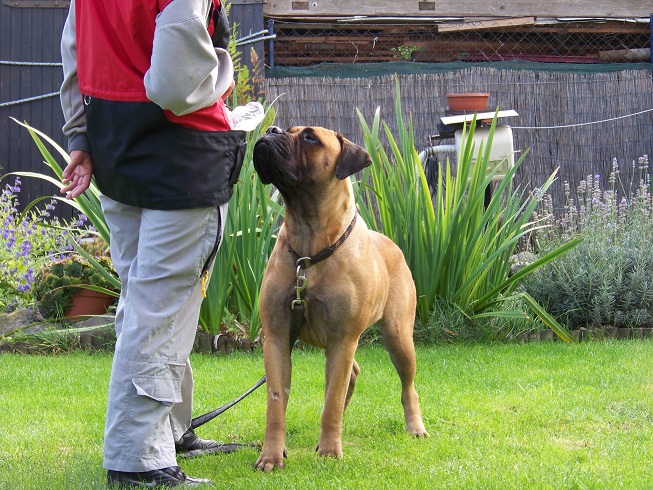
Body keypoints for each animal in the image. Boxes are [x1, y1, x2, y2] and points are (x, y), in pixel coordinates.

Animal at [252, 126, 428, 472]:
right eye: (284, 129)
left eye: (309, 137)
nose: (271, 129)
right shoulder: (277, 337)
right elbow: (276, 402)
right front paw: (271, 455)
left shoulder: (343, 338)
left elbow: (332, 398)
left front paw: (331, 451)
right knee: (352, 374)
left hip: (398, 338)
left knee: (407, 387)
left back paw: (415, 426)